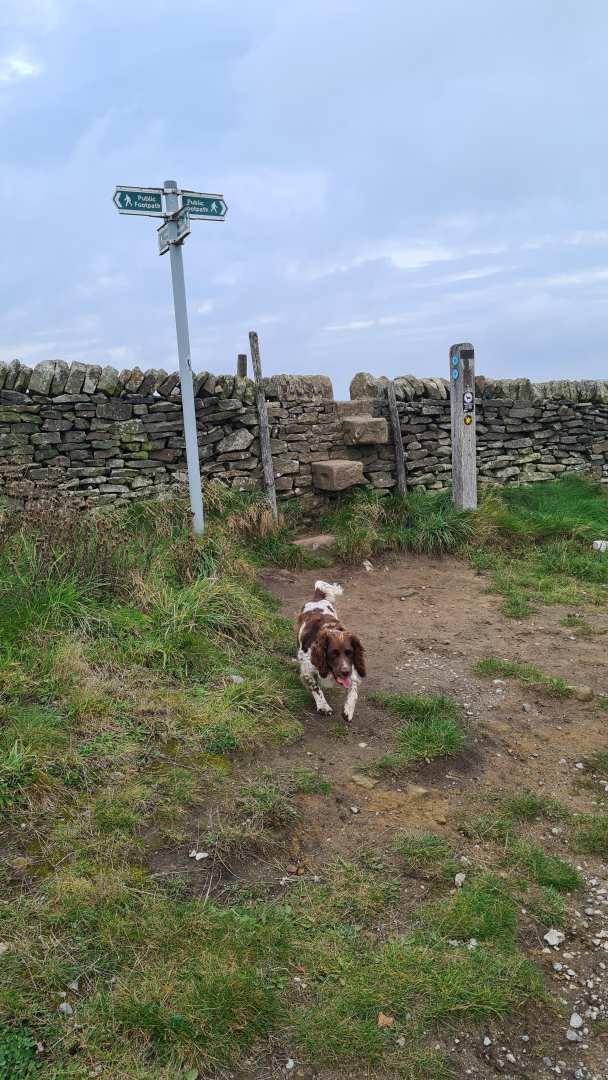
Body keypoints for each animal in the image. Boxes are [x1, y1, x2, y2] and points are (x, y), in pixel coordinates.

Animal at [297, 580, 366, 722]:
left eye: (350, 653)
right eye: (333, 654)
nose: (345, 672)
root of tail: (317, 599)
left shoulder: (352, 670)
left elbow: (353, 690)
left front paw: (348, 709)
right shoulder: (306, 671)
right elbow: (316, 687)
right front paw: (323, 706)